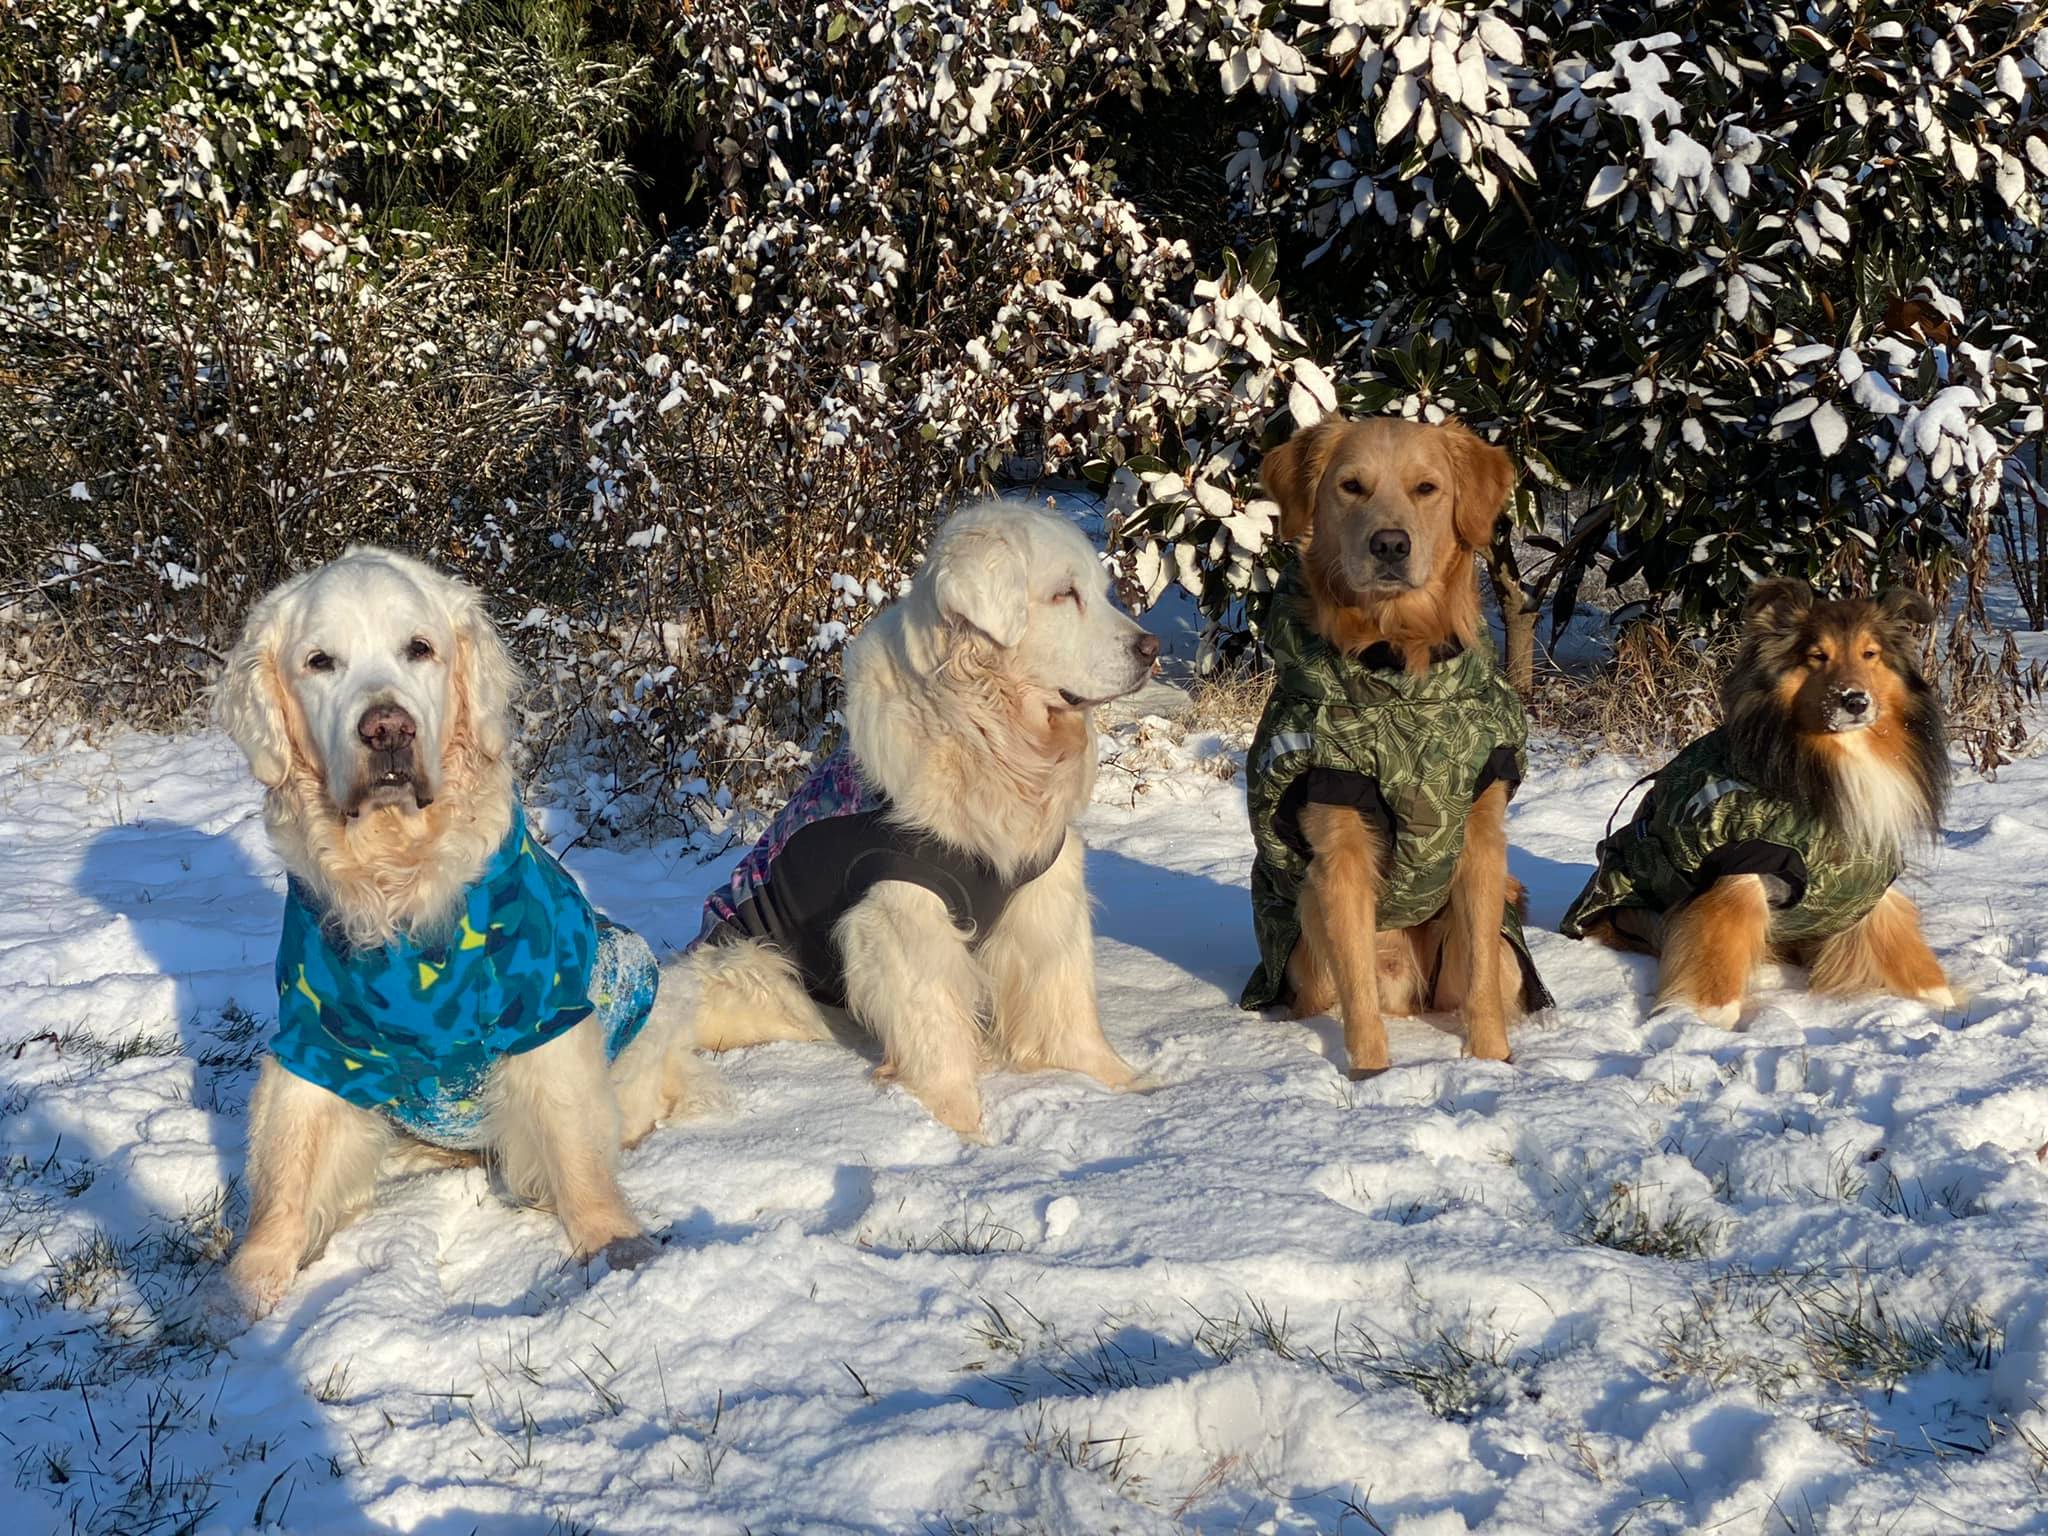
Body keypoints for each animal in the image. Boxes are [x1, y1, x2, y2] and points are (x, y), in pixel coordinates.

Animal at [212, 547, 720, 1318]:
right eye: (320, 661)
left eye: (419, 648)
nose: (387, 729)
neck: (398, 877)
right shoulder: (315, 1038)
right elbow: (286, 1167)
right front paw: (251, 1285)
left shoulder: (544, 1017)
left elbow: (576, 1151)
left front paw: (615, 1245)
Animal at [674, 500, 1158, 1138]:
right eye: (1064, 594)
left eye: (1102, 593)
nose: (1151, 648)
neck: (987, 736)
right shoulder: (902, 911)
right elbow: (936, 1031)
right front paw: (962, 1129)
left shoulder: (1044, 888)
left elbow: (1064, 999)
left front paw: (1122, 1082)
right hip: (756, 967)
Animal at [1242, 416, 1551, 1077]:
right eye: (1351, 487)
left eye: (1426, 488)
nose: (1389, 545)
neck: (1400, 681)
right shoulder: (1338, 845)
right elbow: (1357, 987)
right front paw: (1372, 1076)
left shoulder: (1479, 833)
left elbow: (1483, 979)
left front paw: (1492, 1064)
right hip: (1304, 925)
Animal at [1559, 578, 1951, 1024]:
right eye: (1817, 656)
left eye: (1870, 654)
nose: (1855, 701)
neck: (1830, 760)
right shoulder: (1740, 873)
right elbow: (1717, 964)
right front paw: (1703, 1023)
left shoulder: (1864, 879)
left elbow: (1906, 955)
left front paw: (1947, 1006)